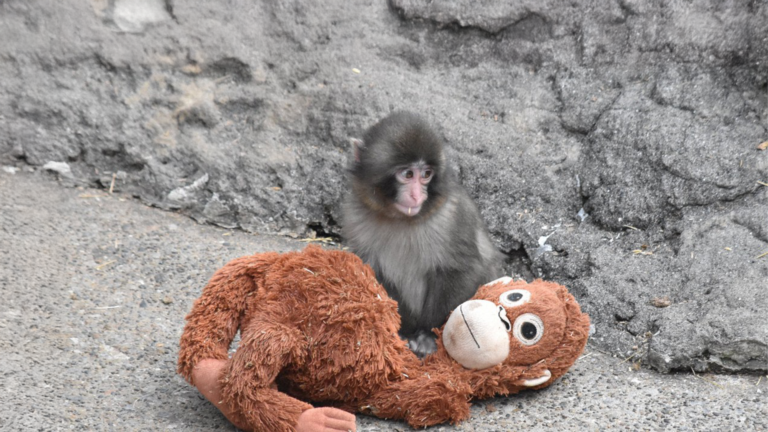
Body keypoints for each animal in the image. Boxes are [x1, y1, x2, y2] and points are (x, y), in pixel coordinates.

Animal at [342, 111, 504, 357]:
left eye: (426, 174)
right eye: (408, 174)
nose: (417, 195)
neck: (400, 218)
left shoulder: (452, 214)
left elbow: (463, 269)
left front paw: (427, 335)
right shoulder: (354, 216)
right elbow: (372, 273)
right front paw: (404, 331)